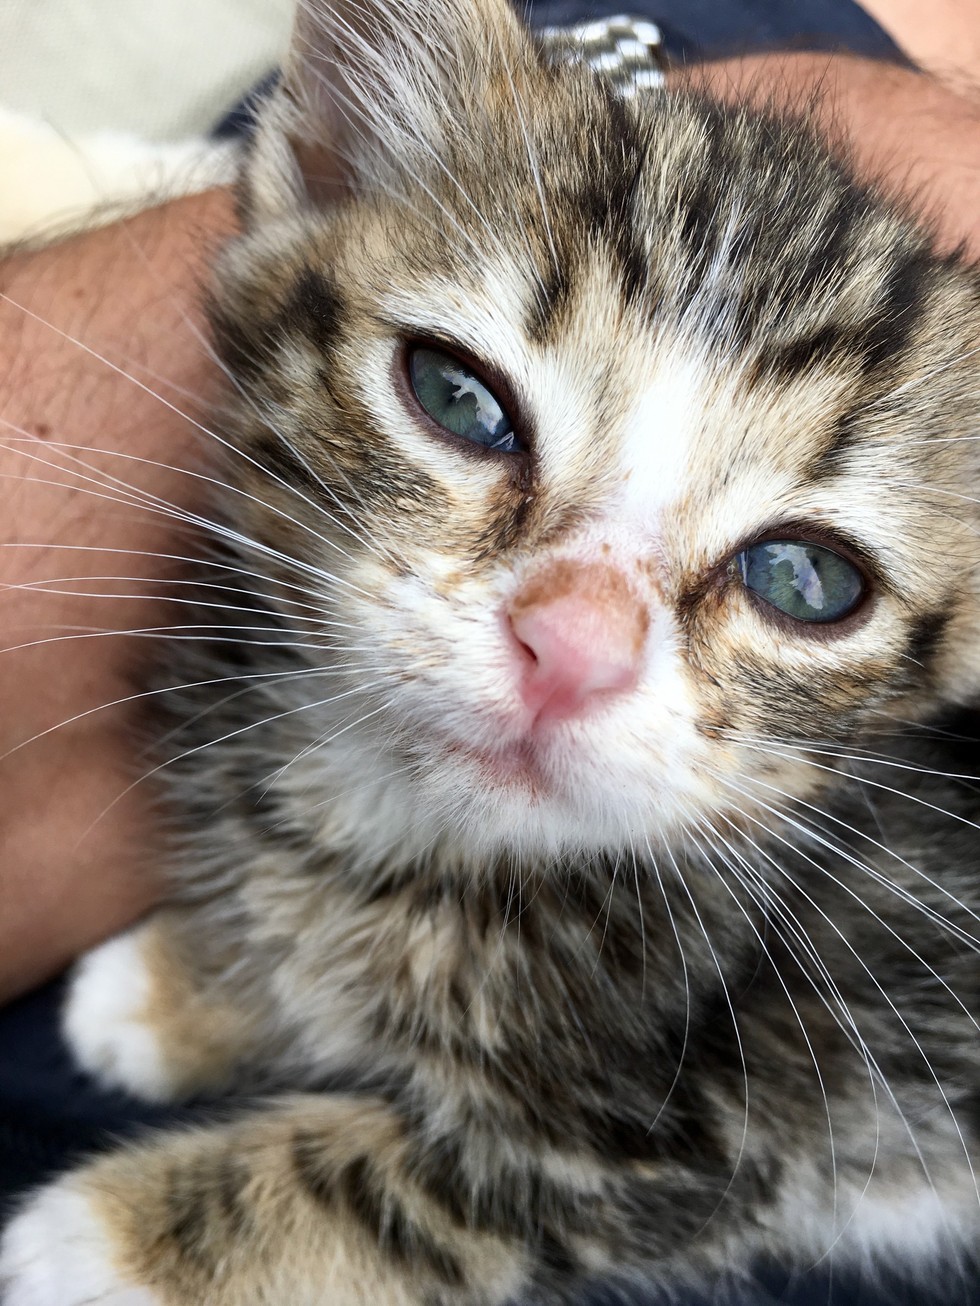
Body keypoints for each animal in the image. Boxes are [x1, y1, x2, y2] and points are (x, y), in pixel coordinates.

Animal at [1, 0, 980, 1300]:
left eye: (803, 580)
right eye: (457, 399)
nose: (570, 648)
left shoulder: (706, 1134)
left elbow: (402, 1190)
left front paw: (101, 1241)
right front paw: (181, 988)